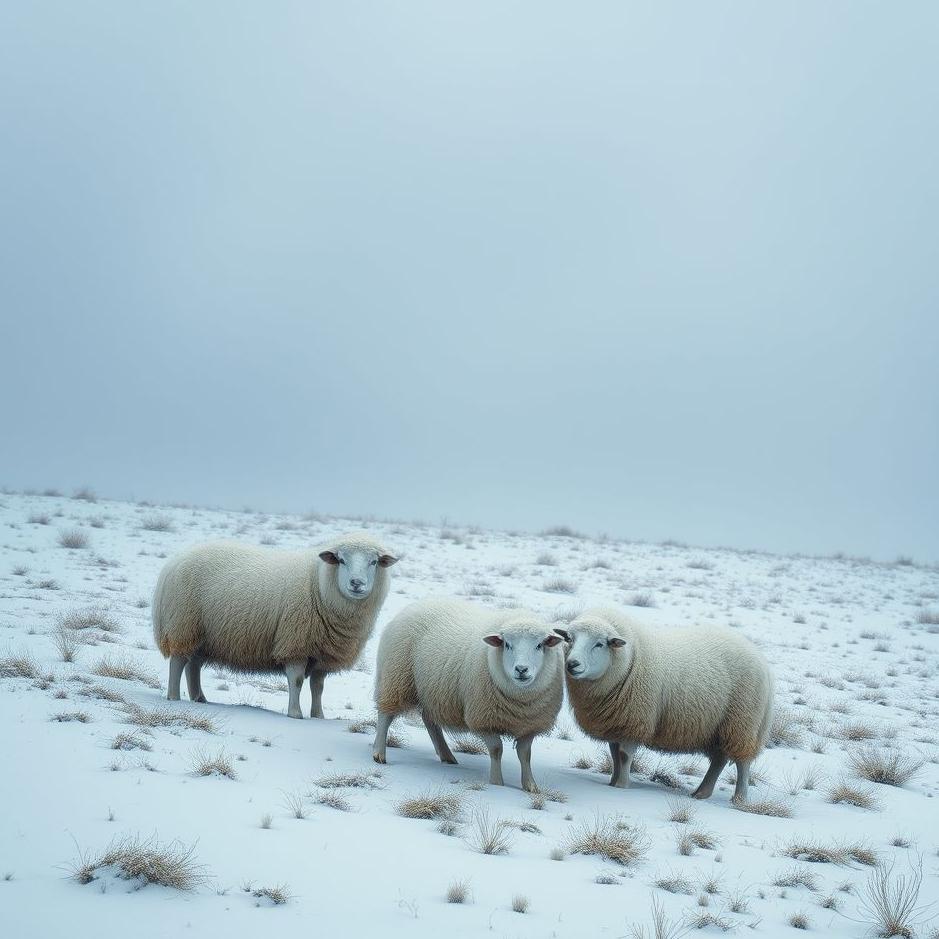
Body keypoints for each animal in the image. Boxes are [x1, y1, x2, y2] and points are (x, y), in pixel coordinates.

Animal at [152, 532, 397, 718]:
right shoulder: (296, 643)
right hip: (183, 623)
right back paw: (174, 697)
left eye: (374, 562)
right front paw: (295, 714)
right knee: (178, 661)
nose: (357, 583)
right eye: (341, 560)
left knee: (193, 664)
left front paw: (318, 716)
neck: (319, 584)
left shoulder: (324, 653)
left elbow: (318, 687)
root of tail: (174, 561)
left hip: (204, 634)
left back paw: (199, 698)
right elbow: (296, 681)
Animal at [372, 598, 565, 791]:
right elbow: (496, 750)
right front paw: (497, 783)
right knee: (385, 715)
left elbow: (525, 755)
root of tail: (415, 605)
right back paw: (379, 753)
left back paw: (446, 755)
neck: (520, 702)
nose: (521, 669)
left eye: (539, 645)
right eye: (507, 644)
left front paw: (530, 786)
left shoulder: (530, 725)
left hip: (434, 693)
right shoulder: (483, 719)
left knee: (429, 720)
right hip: (396, 677)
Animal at [555, 607, 773, 803]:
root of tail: (760, 657)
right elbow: (614, 755)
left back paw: (739, 798)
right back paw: (701, 793)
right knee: (719, 761)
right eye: (569, 639)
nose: (572, 664)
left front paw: (621, 786)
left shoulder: (634, 721)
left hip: (742, 723)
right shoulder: (616, 724)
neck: (629, 659)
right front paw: (612, 782)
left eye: (599, 644)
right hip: (718, 728)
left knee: (743, 763)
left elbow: (624, 756)